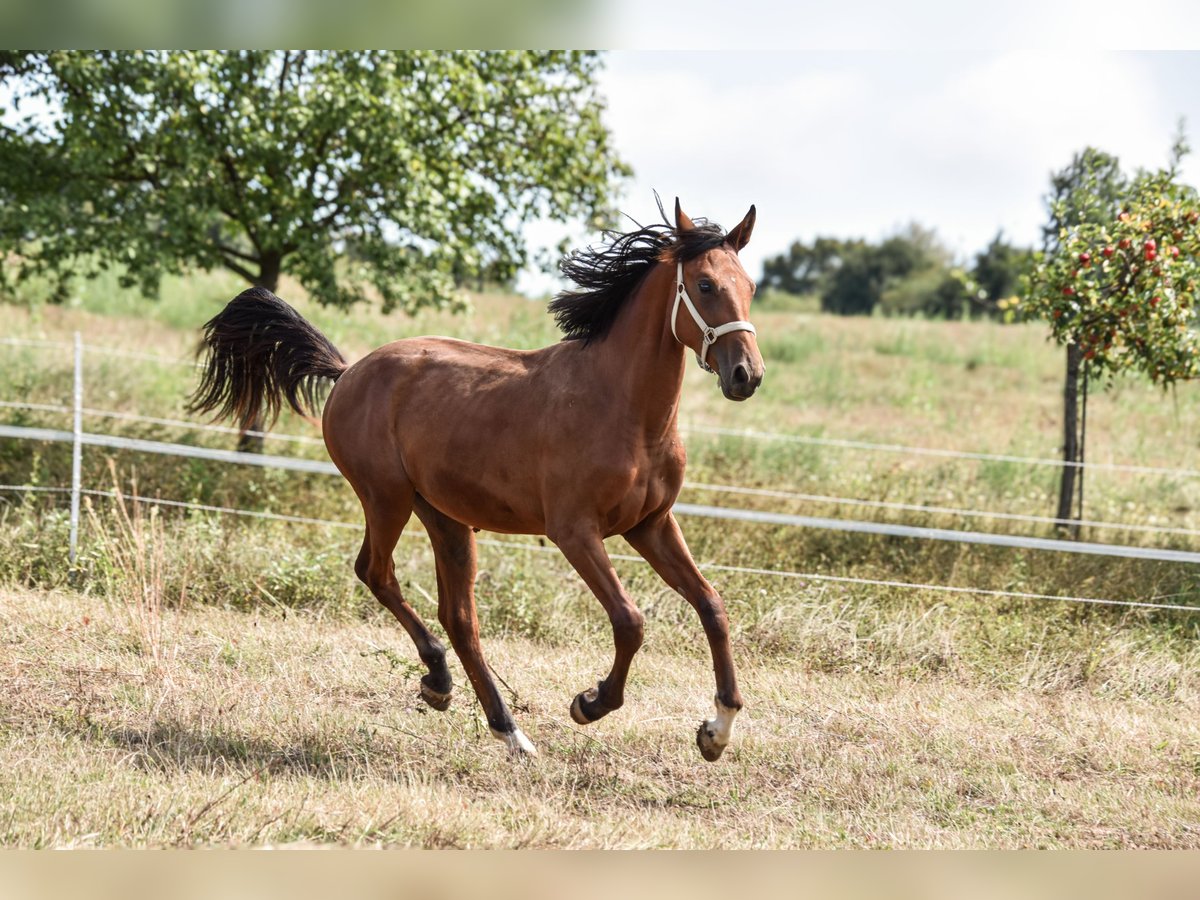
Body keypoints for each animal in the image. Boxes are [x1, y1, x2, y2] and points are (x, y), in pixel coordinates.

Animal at [187, 199, 768, 763]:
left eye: (750, 286)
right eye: (705, 285)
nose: (747, 376)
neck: (623, 409)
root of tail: (348, 371)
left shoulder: (651, 525)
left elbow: (712, 606)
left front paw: (716, 731)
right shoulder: (575, 531)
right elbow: (630, 620)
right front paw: (590, 703)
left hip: (446, 518)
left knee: (459, 617)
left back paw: (498, 725)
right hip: (386, 498)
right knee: (377, 573)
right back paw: (445, 684)